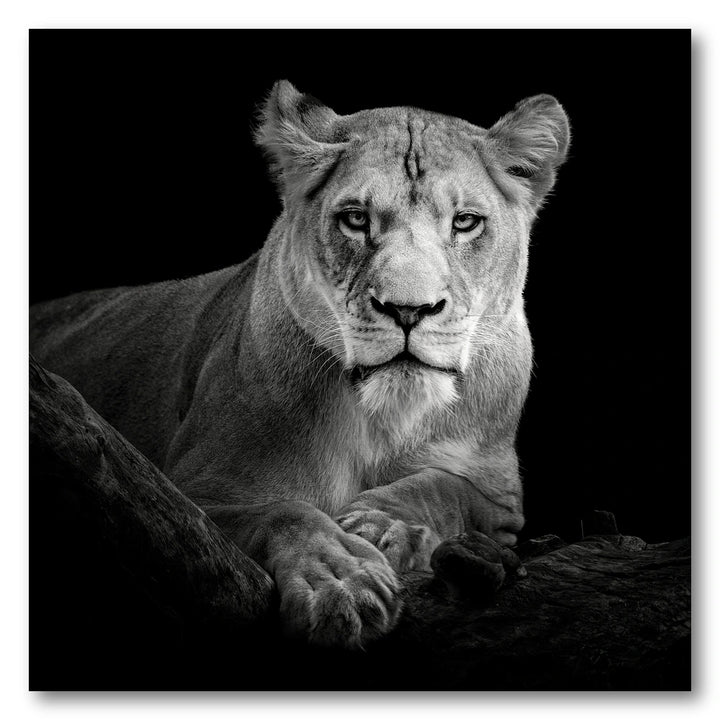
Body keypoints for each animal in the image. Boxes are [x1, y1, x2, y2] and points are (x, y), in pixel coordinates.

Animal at [30, 81, 569, 648]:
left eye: (465, 223)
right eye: (356, 218)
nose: (408, 310)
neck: (383, 418)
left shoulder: (500, 498)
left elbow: (445, 487)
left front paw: (384, 526)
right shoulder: (188, 498)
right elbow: (285, 512)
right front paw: (341, 580)